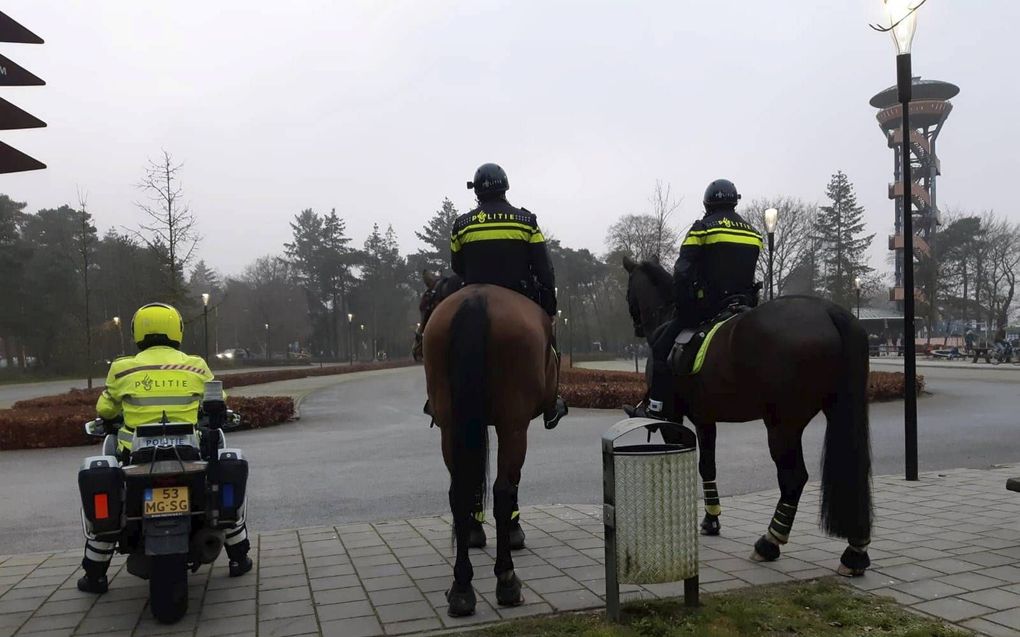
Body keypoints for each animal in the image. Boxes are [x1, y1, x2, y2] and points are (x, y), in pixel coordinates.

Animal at [418, 277, 558, 615]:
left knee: (458, 491)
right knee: (503, 490)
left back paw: (461, 586)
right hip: (513, 424)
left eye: (426, 304)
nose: (415, 345)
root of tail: (476, 300)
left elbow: (473, 478)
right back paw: (506, 579)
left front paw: (473, 531)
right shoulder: (515, 425)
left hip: (451, 426)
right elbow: (508, 483)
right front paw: (514, 532)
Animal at [624, 254, 873, 574]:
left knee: (793, 478)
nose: (636, 326)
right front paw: (711, 519)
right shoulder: (705, 418)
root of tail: (828, 312)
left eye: (629, 290)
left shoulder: (673, 419)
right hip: (835, 411)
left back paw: (769, 542)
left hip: (782, 425)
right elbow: (707, 466)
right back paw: (856, 551)